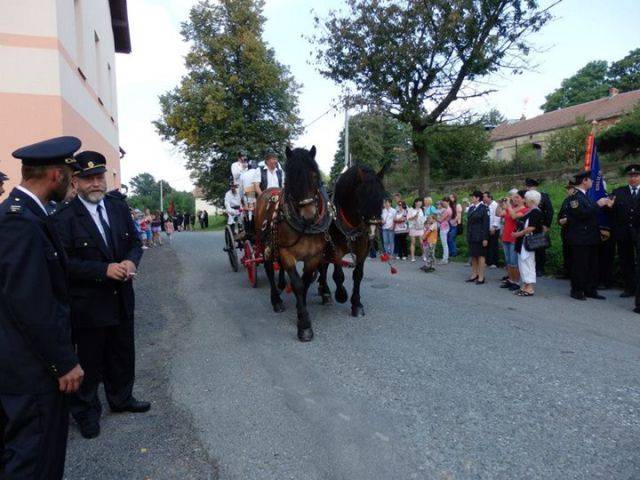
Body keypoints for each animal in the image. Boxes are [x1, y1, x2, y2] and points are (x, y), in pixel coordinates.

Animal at [254, 146, 332, 342]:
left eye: (315, 175)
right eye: (291, 177)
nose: (309, 215)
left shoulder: (314, 256)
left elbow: (305, 282)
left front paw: (299, 308)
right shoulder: (286, 253)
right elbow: (297, 284)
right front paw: (304, 325)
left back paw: (282, 284)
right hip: (265, 244)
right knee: (268, 268)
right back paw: (276, 300)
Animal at [318, 165, 386, 317]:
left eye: (381, 198)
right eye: (361, 197)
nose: (372, 231)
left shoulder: (363, 250)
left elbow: (358, 275)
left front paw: (356, 304)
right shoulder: (335, 248)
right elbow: (338, 274)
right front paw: (341, 294)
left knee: (323, 267)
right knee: (322, 268)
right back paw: (325, 292)